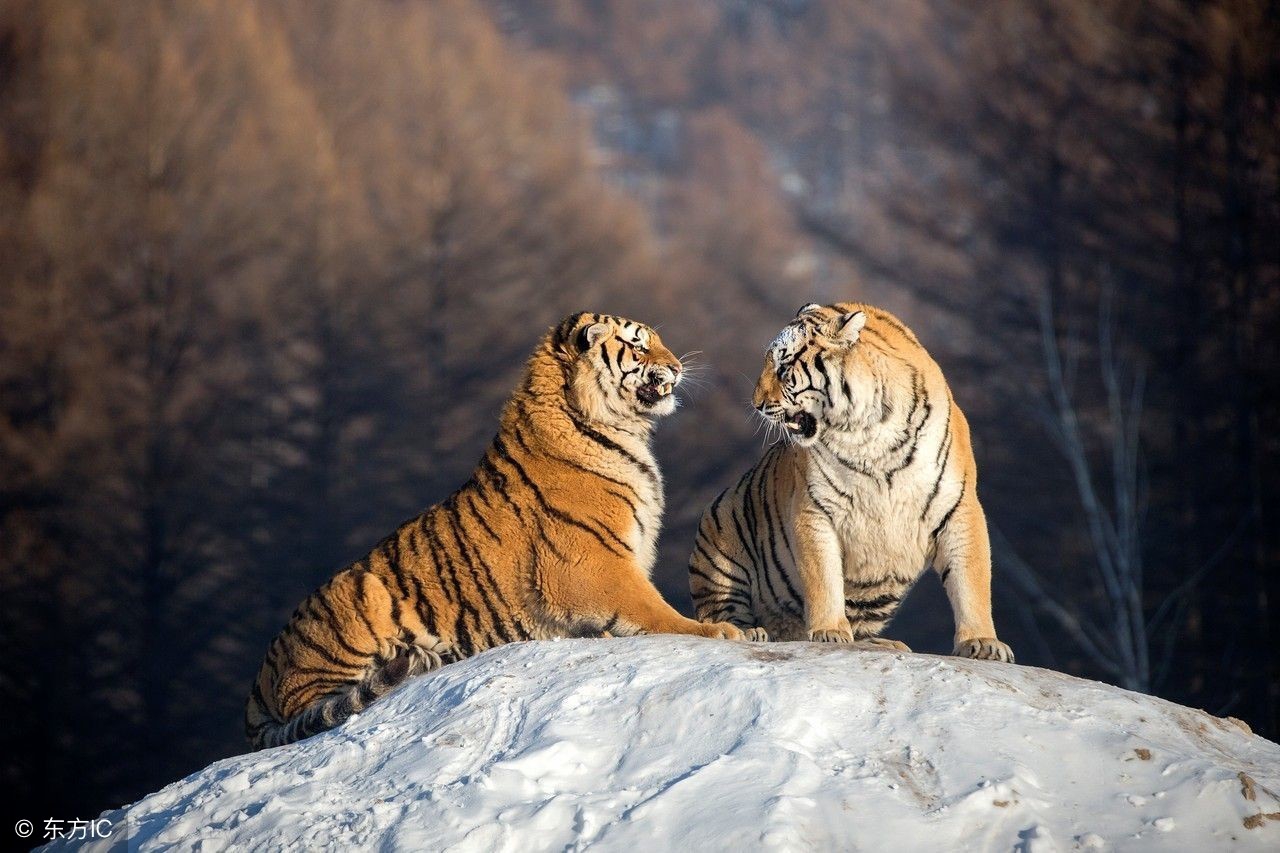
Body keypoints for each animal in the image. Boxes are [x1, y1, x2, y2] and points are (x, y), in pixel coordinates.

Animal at [247, 311, 742, 742]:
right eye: (637, 346)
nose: (677, 367)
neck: (613, 428)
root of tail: (259, 681)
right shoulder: (595, 564)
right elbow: (654, 610)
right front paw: (717, 631)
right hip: (361, 599)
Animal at [696, 302, 1013, 660]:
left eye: (784, 366)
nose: (757, 404)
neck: (869, 430)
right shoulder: (814, 510)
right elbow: (823, 577)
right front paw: (829, 631)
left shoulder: (958, 507)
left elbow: (971, 578)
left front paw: (983, 642)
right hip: (721, 535)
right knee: (723, 613)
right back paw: (751, 632)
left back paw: (885, 643)